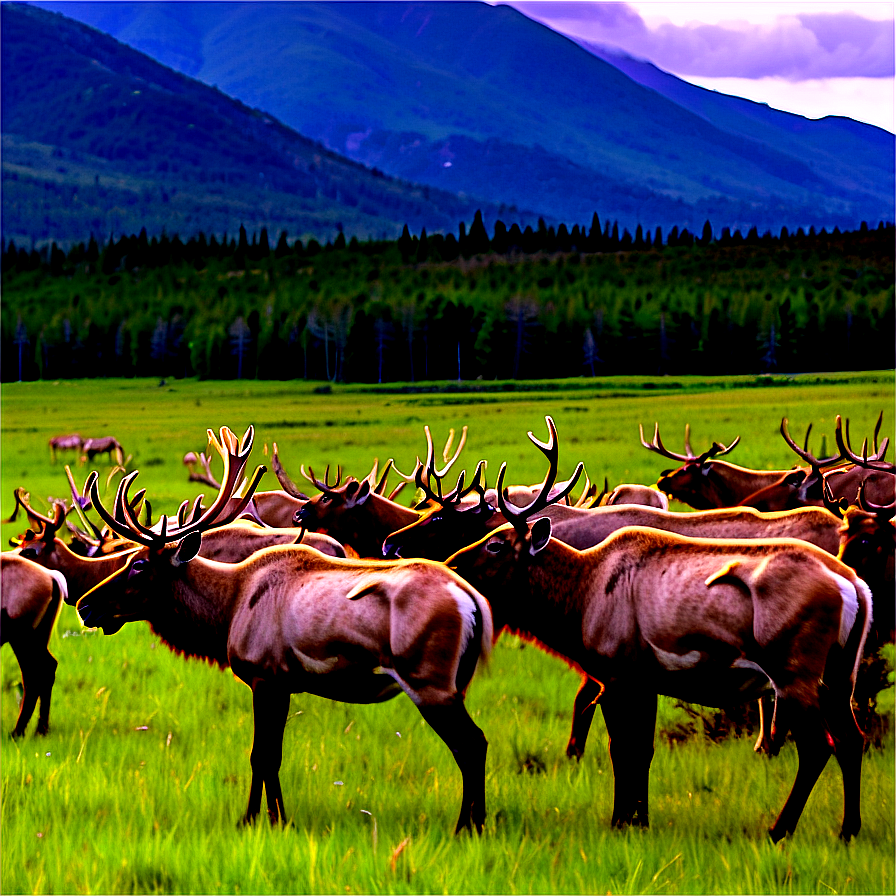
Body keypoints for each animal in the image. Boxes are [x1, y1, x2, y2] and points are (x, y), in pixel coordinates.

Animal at [1, 552, 68, 736]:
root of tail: (50, 576)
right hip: (37, 637)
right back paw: (40, 730)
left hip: (21, 638)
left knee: (36, 673)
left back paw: (19, 732)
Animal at [75, 428, 496, 832]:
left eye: (139, 564)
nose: (85, 605)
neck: (226, 611)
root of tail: (474, 602)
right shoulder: (283, 683)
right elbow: (271, 755)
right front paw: (275, 818)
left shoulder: (265, 676)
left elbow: (261, 756)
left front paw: (255, 820)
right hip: (455, 683)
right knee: (474, 743)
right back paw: (476, 823)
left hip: (429, 681)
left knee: (471, 744)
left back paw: (466, 826)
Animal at [444, 420, 872, 840]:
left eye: (496, 543)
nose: (451, 563)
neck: (578, 603)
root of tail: (854, 587)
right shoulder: (646, 680)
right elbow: (643, 751)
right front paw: (640, 819)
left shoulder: (617, 674)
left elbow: (621, 750)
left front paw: (620, 820)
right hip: (840, 673)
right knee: (853, 740)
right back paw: (848, 828)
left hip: (793, 671)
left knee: (818, 746)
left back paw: (779, 829)